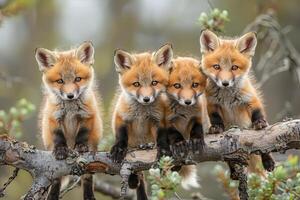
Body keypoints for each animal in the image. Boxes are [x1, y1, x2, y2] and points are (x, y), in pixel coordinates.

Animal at [35, 41, 102, 199]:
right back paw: (53, 195)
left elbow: (82, 134)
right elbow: (58, 137)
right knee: (56, 179)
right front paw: (60, 150)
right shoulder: (54, 118)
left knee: (87, 178)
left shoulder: (86, 116)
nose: (70, 95)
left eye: (77, 79)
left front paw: (81, 146)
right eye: (60, 81)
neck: (71, 109)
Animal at [110, 44, 172, 200]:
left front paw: (162, 149)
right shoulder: (121, 116)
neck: (142, 113)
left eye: (154, 82)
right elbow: (121, 136)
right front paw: (118, 148)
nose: (146, 99)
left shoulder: (158, 120)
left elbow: (161, 138)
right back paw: (133, 179)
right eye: (136, 84)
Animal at [165, 56, 207, 189]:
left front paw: (196, 140)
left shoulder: (197, 116)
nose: (188, 101)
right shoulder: (166, 121)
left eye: (195, 85)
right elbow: (173, 133)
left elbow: (197, 129)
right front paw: (179, 143)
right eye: (177, 85)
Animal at [199, 29, 274, 177]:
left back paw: (268, 161)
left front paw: (259, 122)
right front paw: (216, 127)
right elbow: (215, 117)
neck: (227, 97)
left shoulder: (250, 98)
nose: (225, 83)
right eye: (216, 67)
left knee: (264, 147)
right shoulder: (212, 103)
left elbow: (257, 112)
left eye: (234, 67)